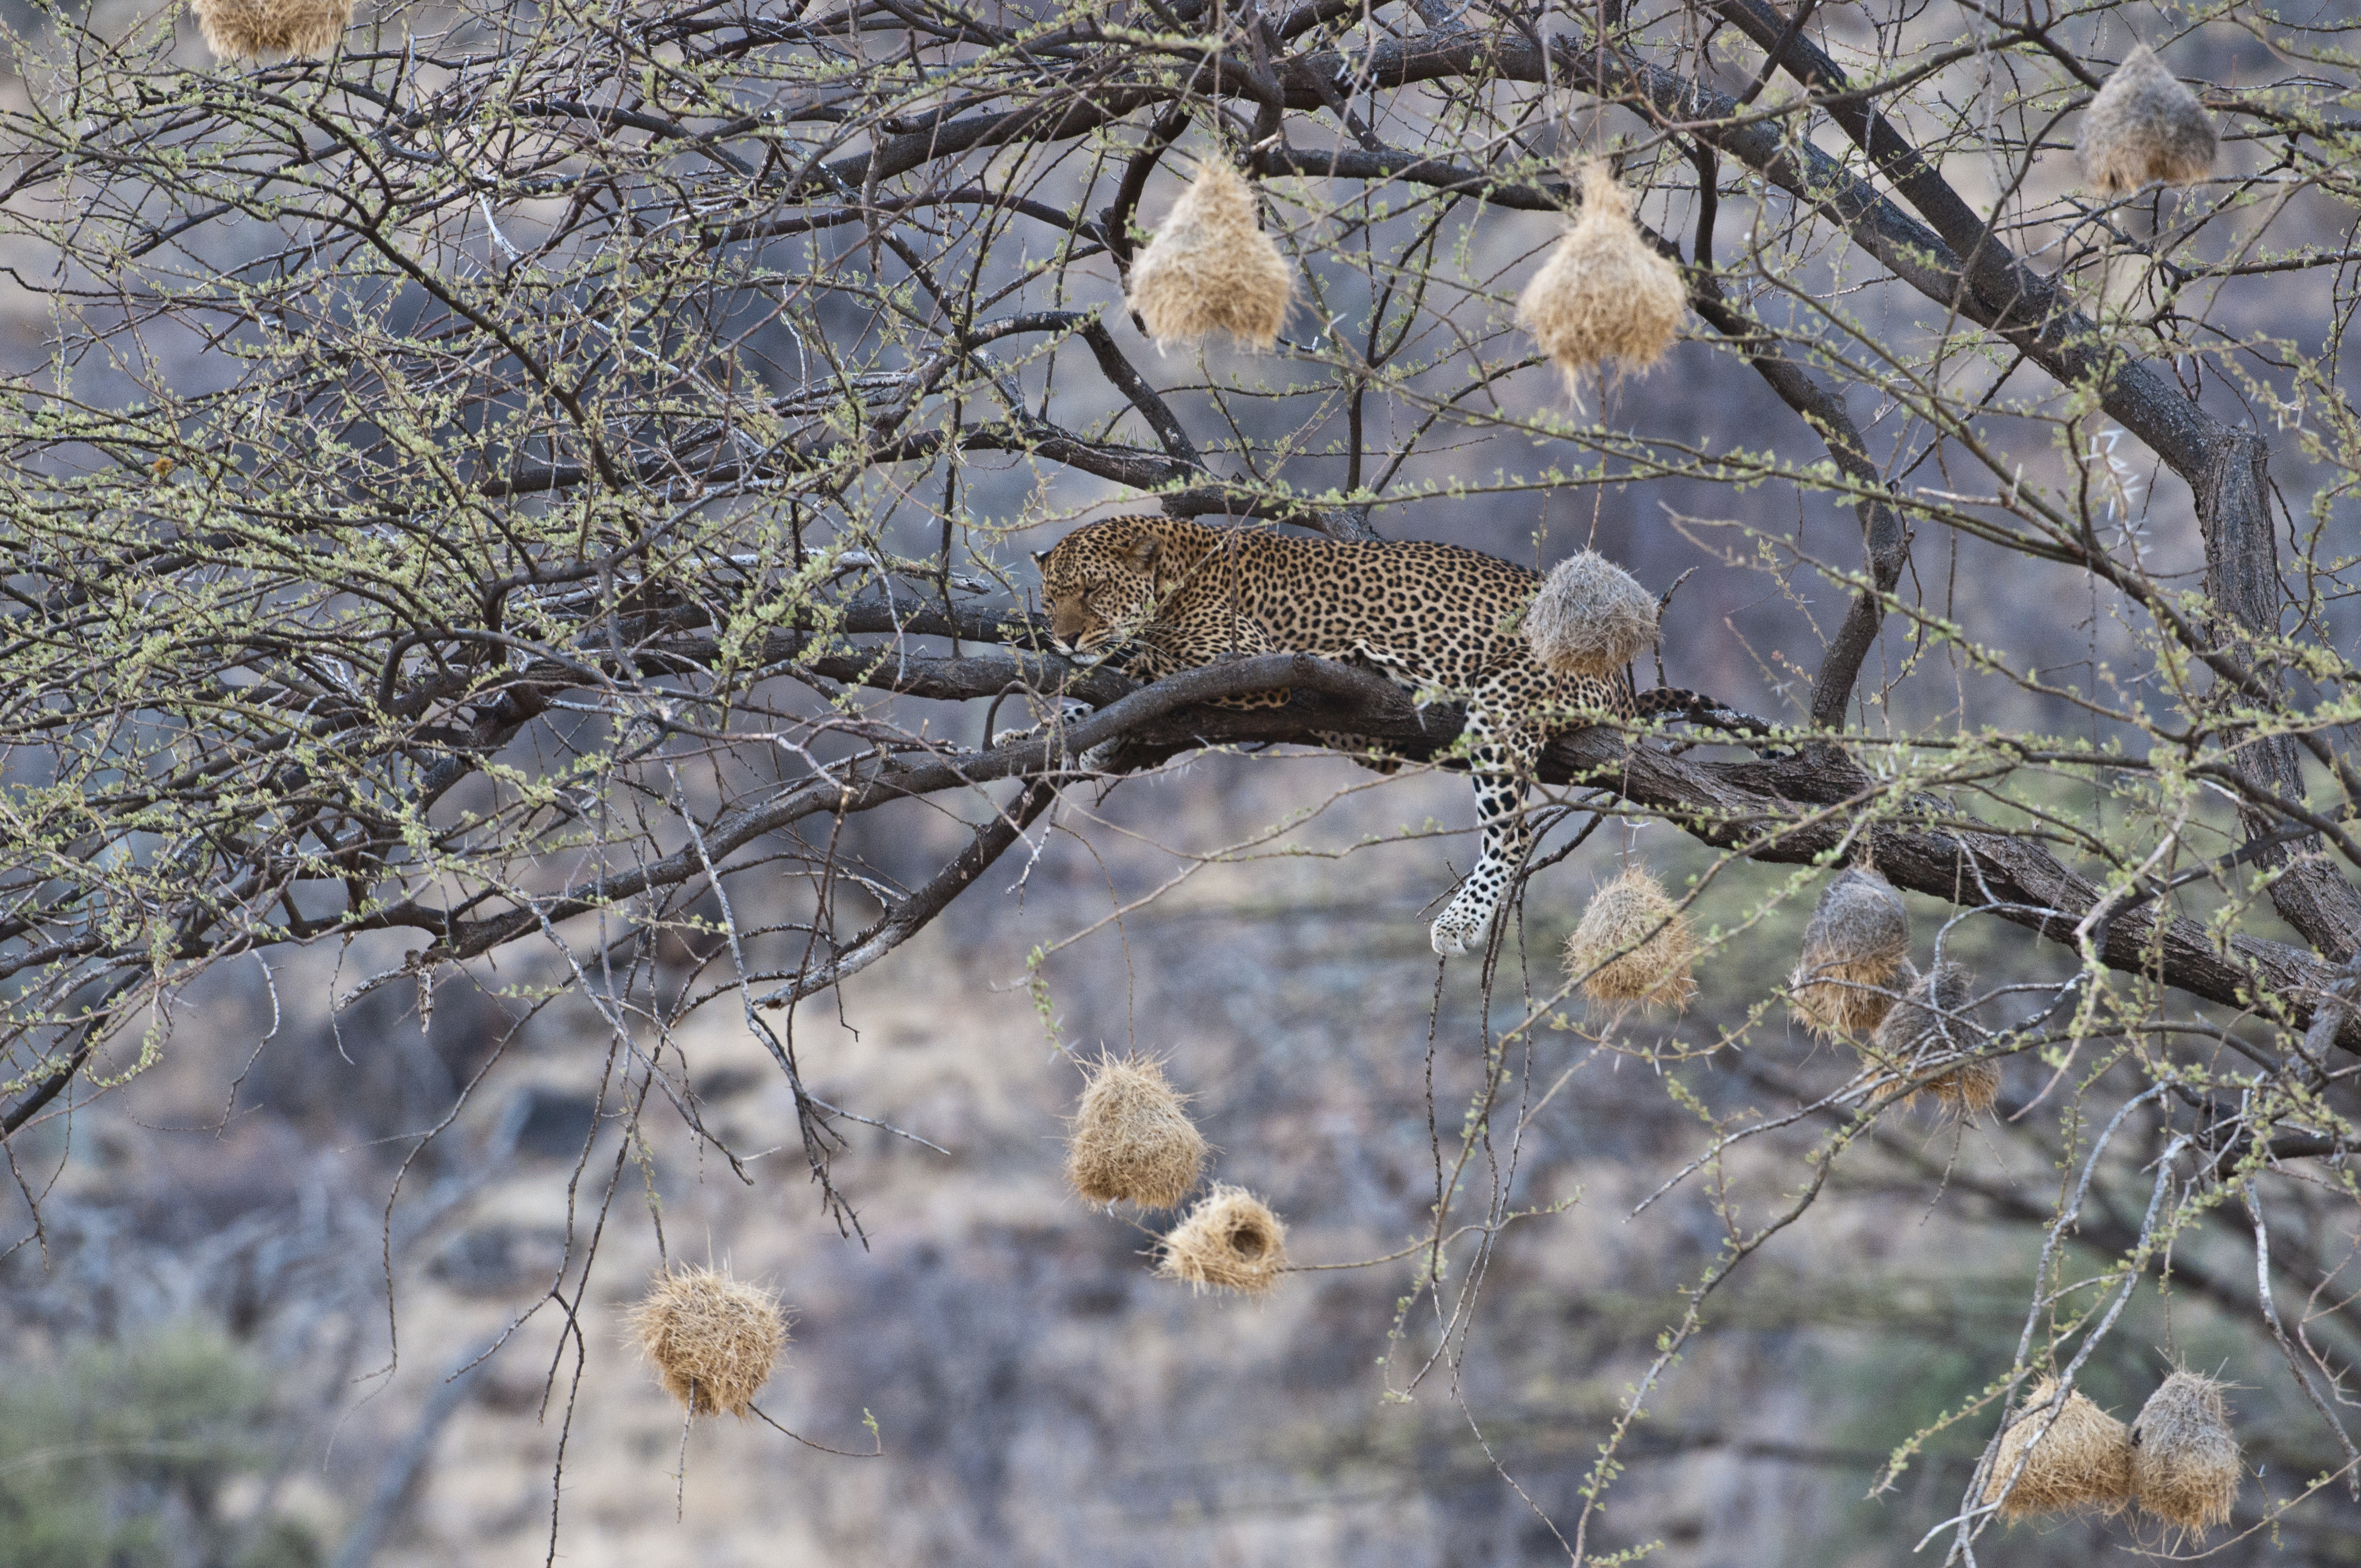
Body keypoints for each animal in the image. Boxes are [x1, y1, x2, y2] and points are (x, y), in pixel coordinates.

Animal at [1034, 513, 1760, 958]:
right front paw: (1065, 726)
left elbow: (1141, 663)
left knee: (1513, 832)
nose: (1059, 638)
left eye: (1092, 591)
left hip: (1505, 699)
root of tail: (1622, 680)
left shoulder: (1238, 657)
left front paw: (1081, 696)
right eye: (1050, 598)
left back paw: (1460, 919)